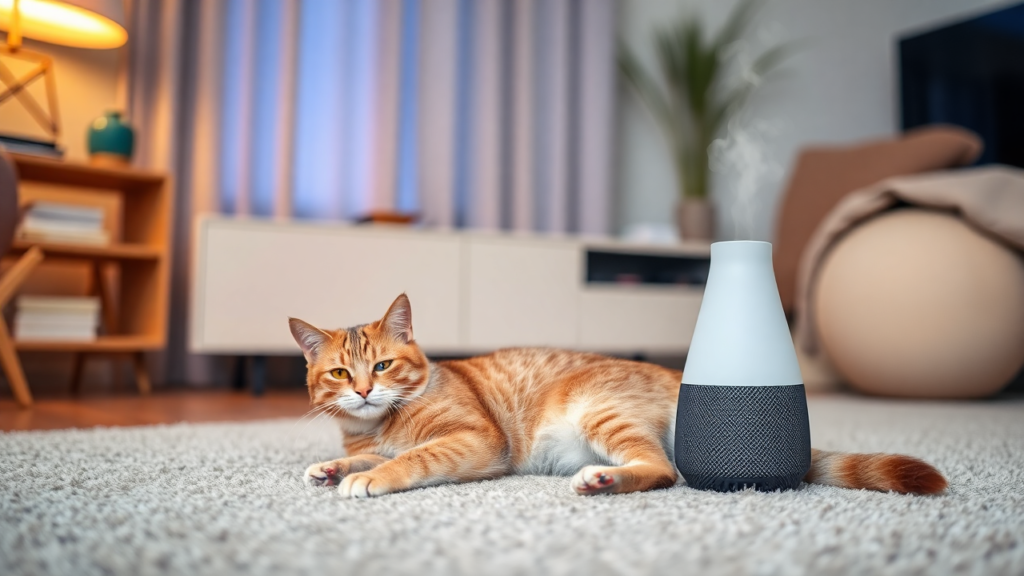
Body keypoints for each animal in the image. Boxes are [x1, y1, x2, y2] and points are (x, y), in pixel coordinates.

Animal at [288, 293, 942, 496]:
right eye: (340, 374)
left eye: (383, 364)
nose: (365, 390)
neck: (378, 424)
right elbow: (368, 456)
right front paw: (334, 466)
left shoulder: (475, 441)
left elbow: (409, 459)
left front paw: (370, 476)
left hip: (601, 413)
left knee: (663, 471)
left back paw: (603, 479)